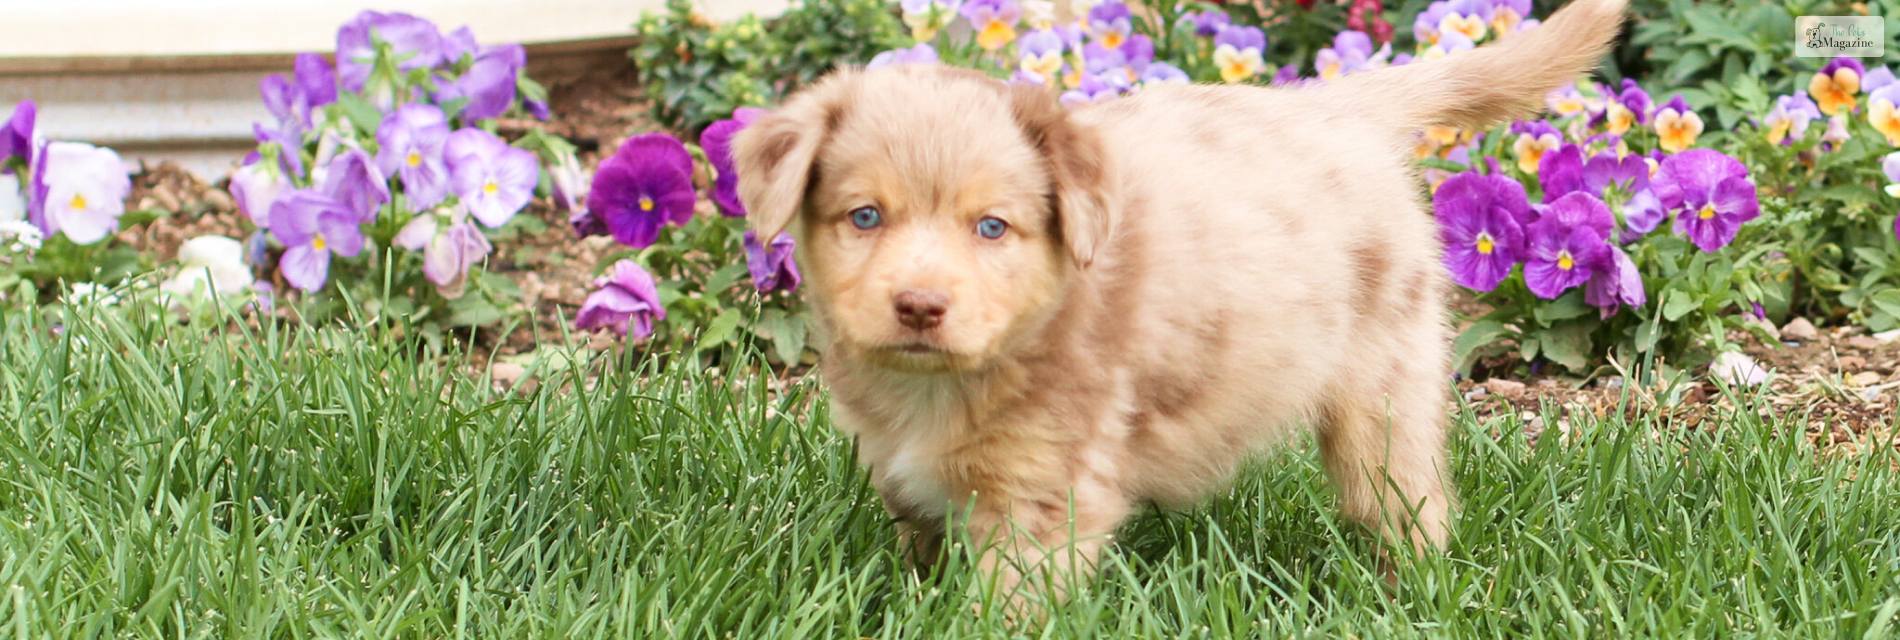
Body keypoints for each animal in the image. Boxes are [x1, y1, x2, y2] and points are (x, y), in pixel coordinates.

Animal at [733, 0, 1626, 603]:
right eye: (865, 217)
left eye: (991, 227)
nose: (919, 307)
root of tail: (1334, 102)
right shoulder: (901, 469)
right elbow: (920, 545)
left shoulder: (1045, 497)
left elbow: (1002, 604)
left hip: (1384, 389)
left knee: (1413, 498)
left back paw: (1413, 588)